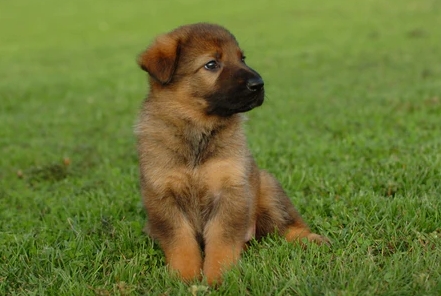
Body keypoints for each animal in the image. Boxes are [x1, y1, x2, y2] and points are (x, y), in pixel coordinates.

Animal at [136, 23, 328, 284]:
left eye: (242, 58)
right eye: (211, 64)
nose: (259, 84)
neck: (199, 131)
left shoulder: (231, 190)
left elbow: (222, 240)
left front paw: (219, 277)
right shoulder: (162, 196)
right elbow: (180, 241)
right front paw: (185, 277)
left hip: (267, 188)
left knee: (286, 226)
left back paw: (312, 240)